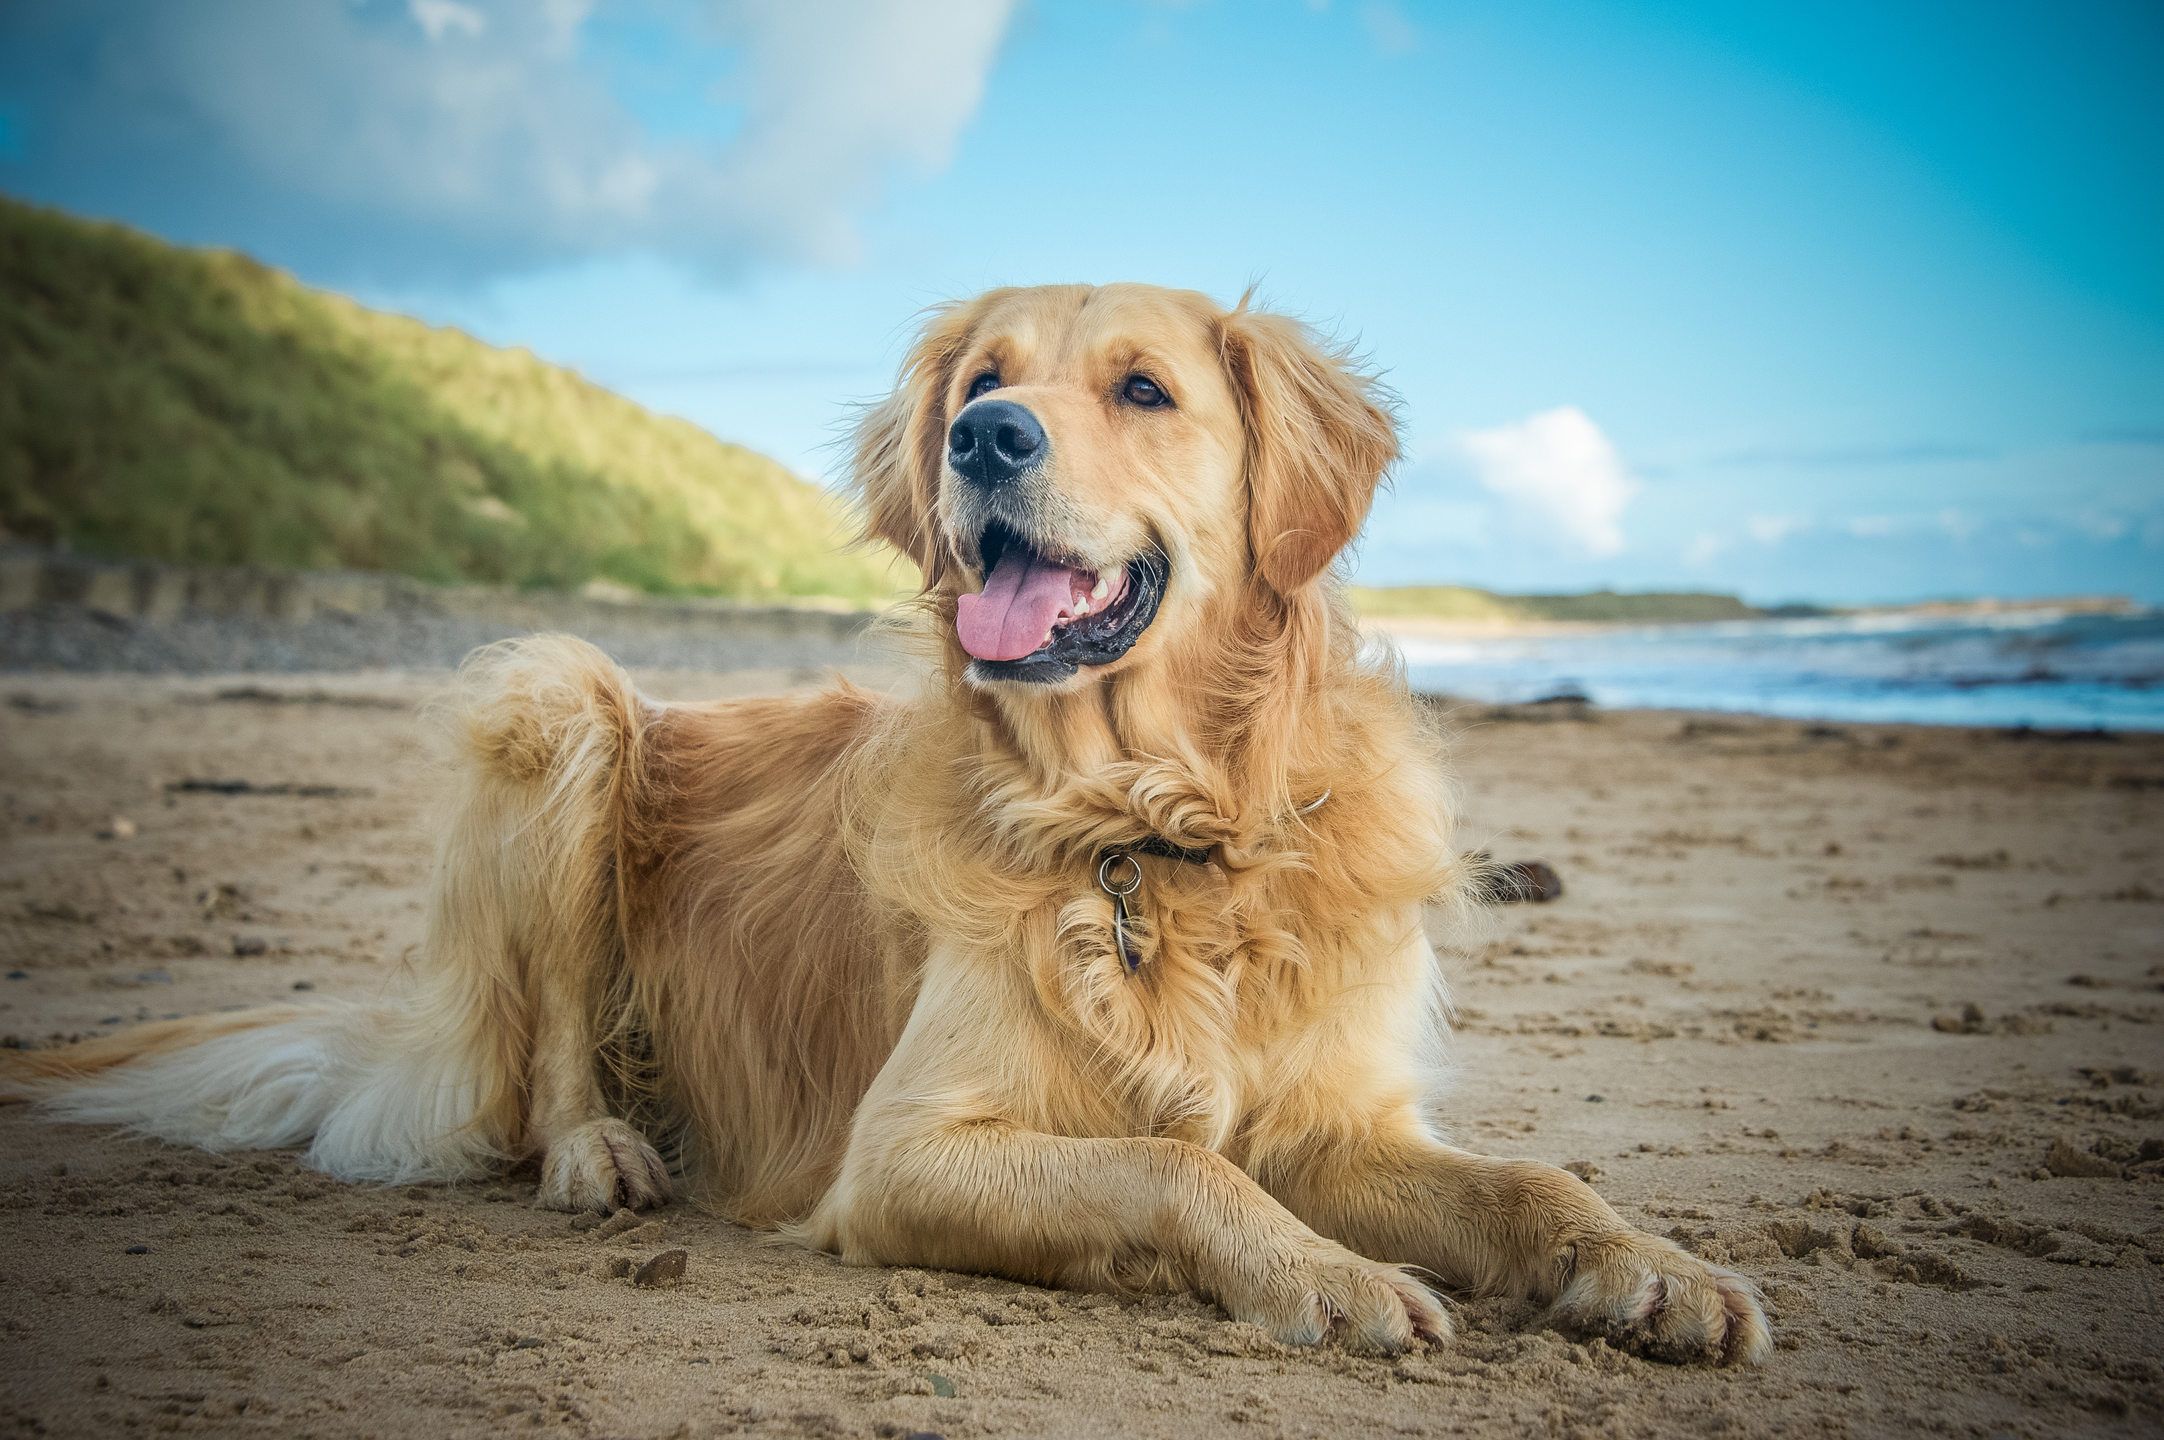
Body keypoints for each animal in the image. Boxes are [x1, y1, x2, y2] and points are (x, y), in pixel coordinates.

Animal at [8, 285, 1765, 1368]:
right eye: (985, 385)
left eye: (1144, 389)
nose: (988, 439)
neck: (1148, 830)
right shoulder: (903, 1153)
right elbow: (1170, 1169)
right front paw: (1329, 1278)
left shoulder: (1332, 1121)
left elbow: (1529, 1180)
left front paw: (1653, 1270)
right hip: (565, 700)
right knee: (557, 1043)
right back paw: (598, 1150)